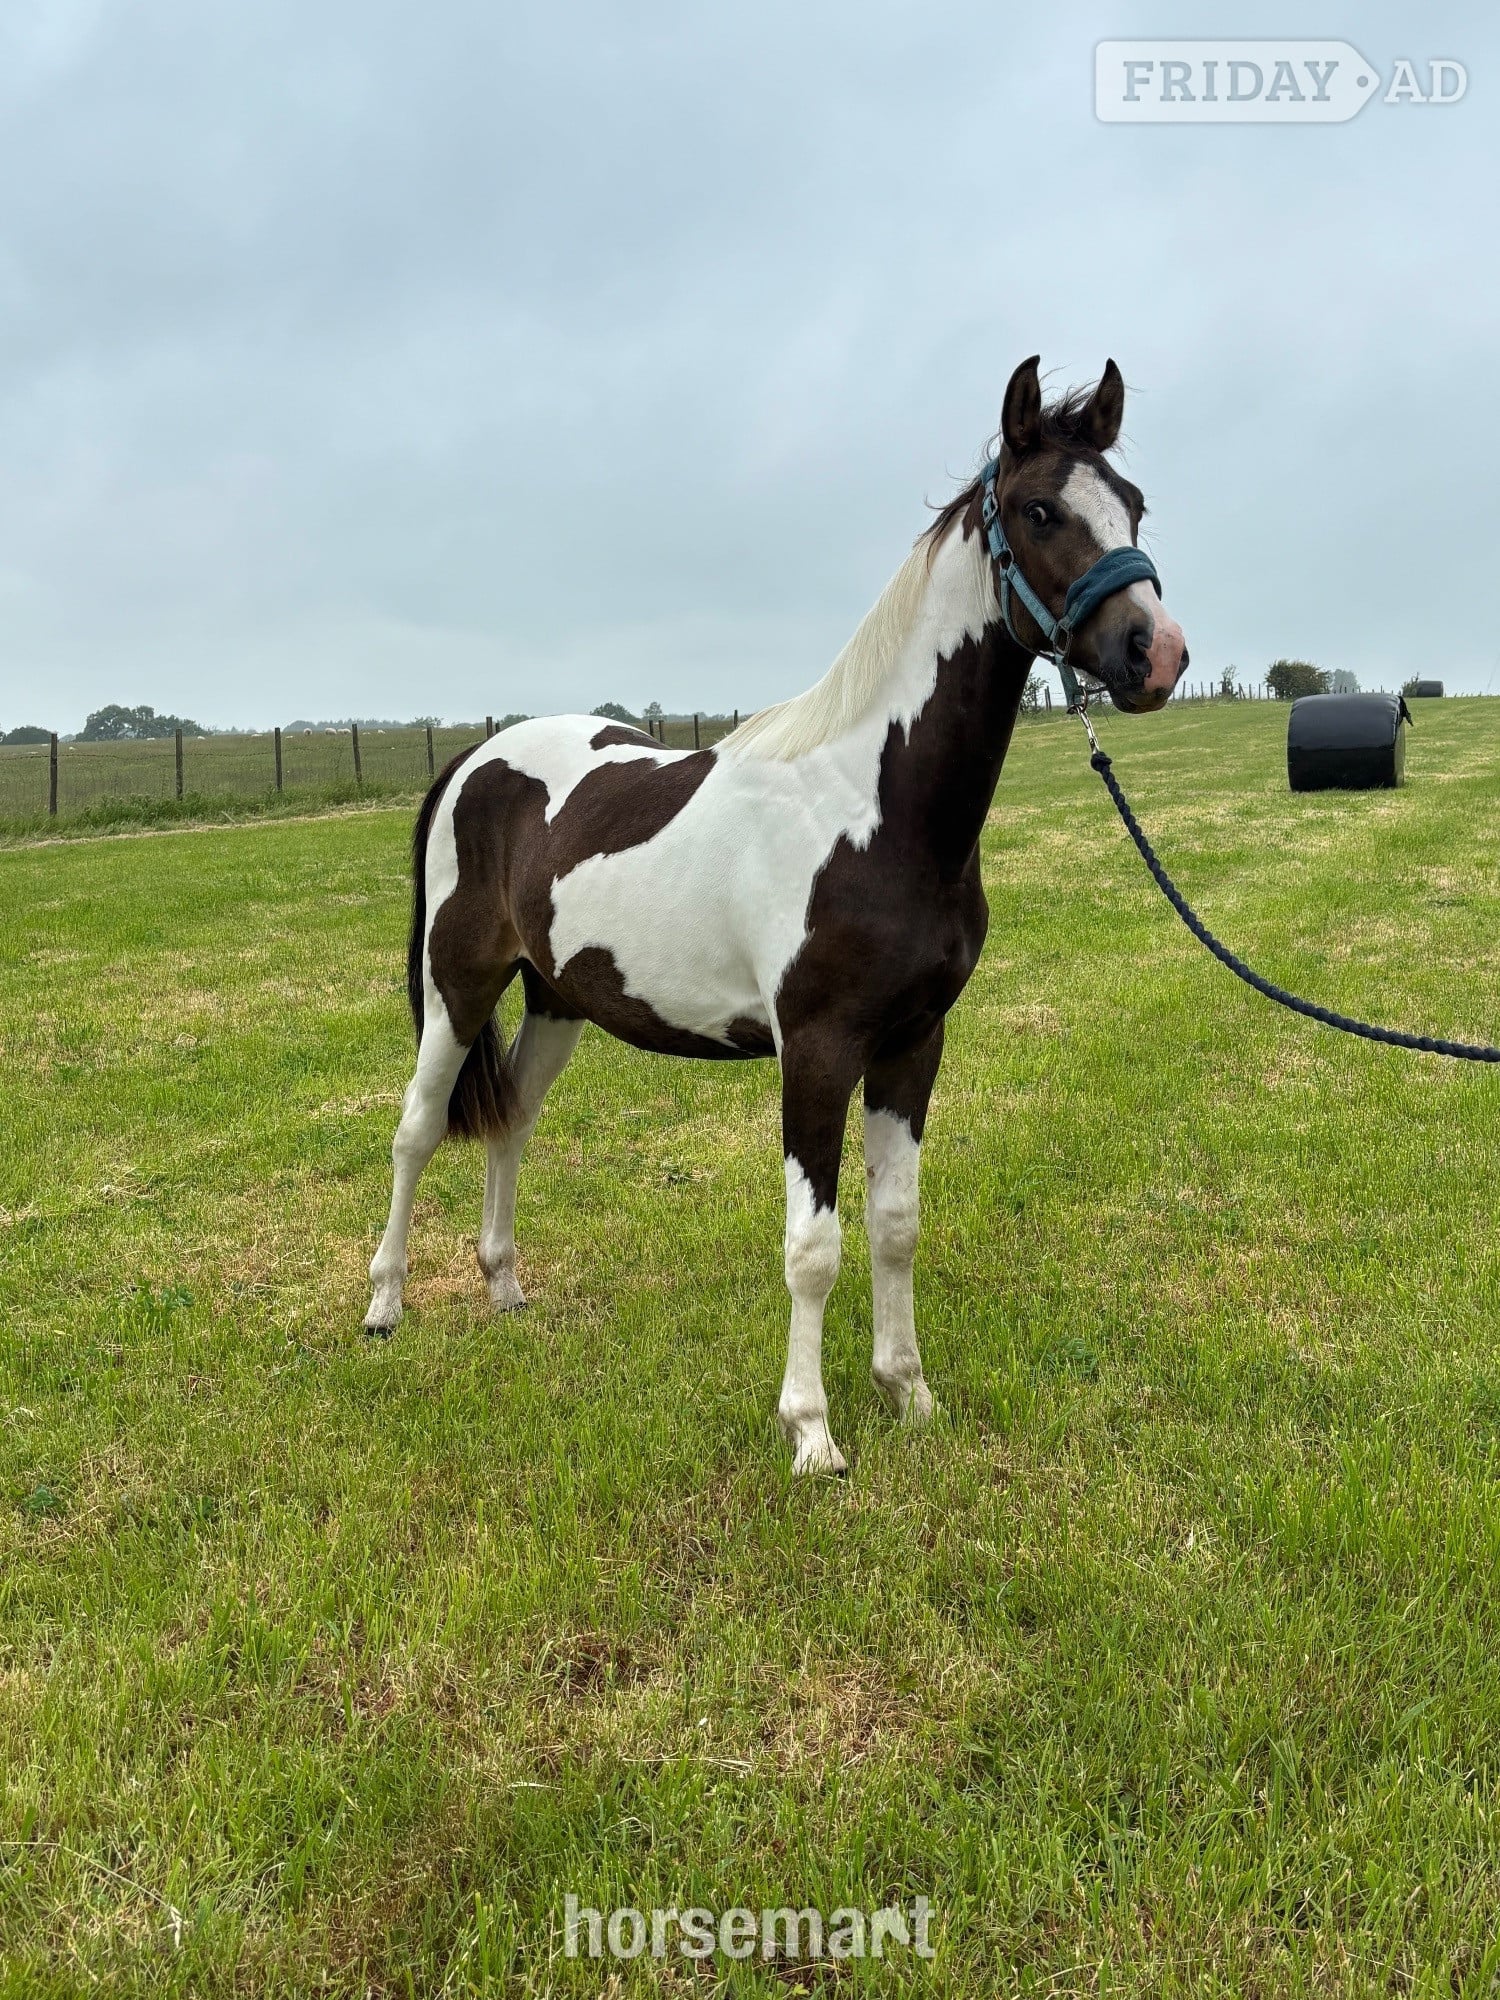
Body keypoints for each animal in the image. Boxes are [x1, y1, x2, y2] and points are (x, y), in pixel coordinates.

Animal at [364, 355, 1188, 1473]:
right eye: (1040, 509)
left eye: (1132, 503)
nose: (1159, 653)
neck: (874, 807)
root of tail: (474, 758)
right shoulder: (820, 1048)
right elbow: (813, 1245)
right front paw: (813, 1433)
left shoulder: (913, 1042)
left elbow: (894, 1224)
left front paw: (908, 1392)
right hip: (458, 982)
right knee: (416, 1128)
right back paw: (385, 1306)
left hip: (557, 999)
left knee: (513, 1123)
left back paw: (505, 1288)